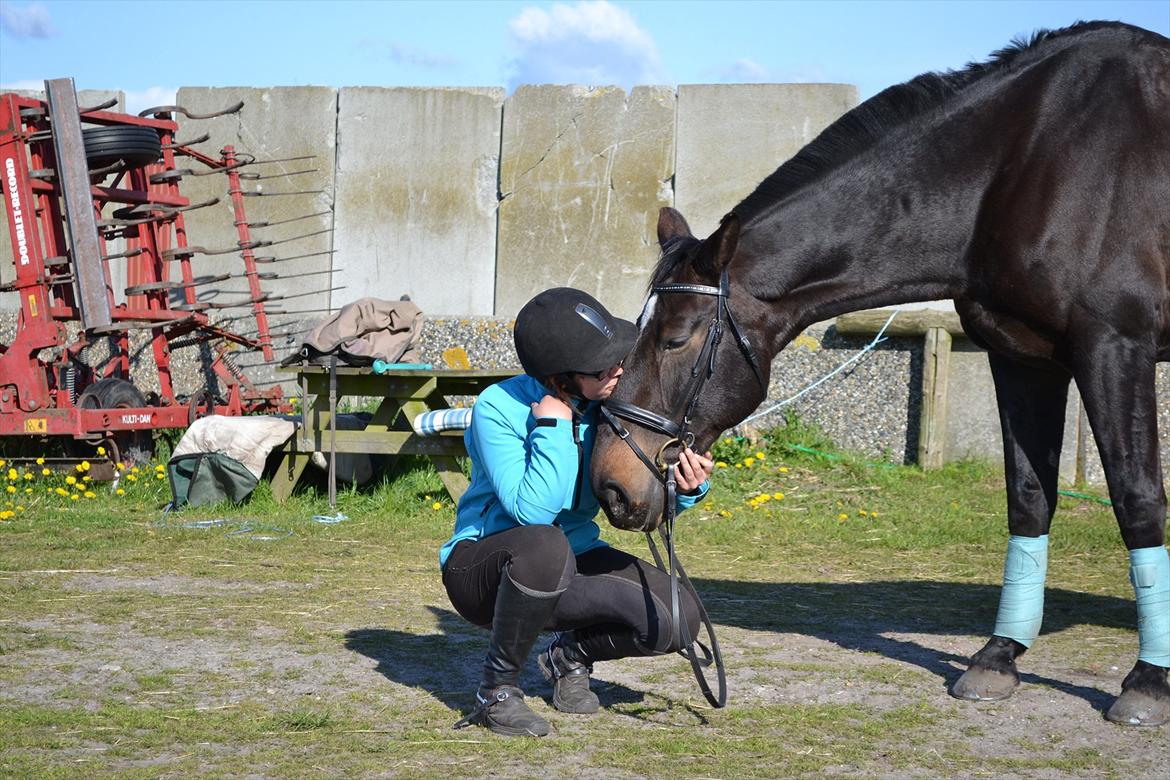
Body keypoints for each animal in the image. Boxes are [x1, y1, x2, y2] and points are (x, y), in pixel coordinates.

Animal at [594, 22, 1170, 725]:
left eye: (676, 338)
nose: (611, 485)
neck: (1030, 164)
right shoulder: (1021, 358)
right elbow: (1029, 499)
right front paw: (998, 657)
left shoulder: (1115, 350)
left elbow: (1138, 500)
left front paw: (1147, 681)